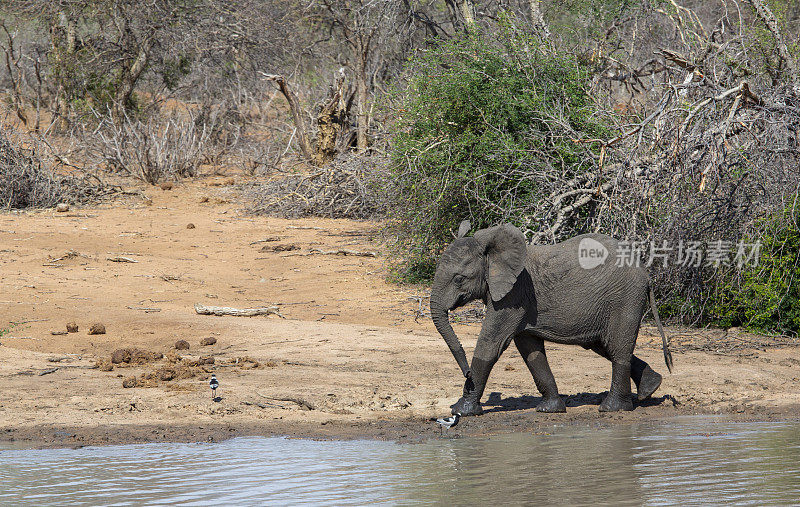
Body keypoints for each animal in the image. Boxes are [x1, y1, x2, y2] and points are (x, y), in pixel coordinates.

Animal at [428, 223, 672, 416]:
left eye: (459, 279)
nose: (467, 374)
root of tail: (646, 272)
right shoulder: (521, 302)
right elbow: (530, 350)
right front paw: (550, 409)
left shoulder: (514, 296)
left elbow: (491, 344)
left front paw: (461, 411)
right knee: (604, 345)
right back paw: (650, 388)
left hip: (625, 298)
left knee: (617, 347)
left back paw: (613, 408)